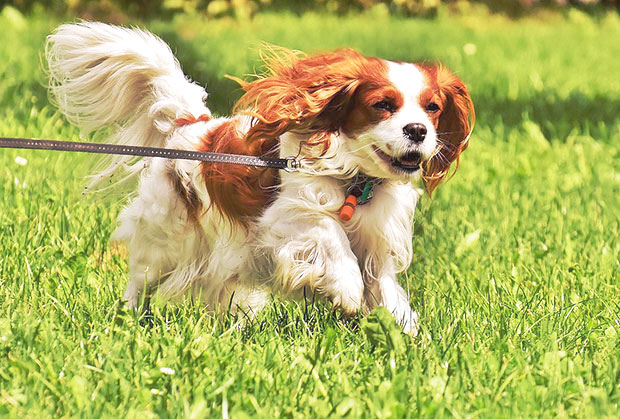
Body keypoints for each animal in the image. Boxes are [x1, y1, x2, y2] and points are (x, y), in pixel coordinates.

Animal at [47, 21, 474, 336]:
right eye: (383, 105)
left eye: (433, 108)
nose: (417, 130)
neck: (354, 177)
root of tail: (191, 125)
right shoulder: (281, 222)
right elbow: (330, 233)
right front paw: (347, 289)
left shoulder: (376, 245)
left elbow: (385, 289)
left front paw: (405, 332)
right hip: (165, 239)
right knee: (141, 279)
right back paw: (128, 317)